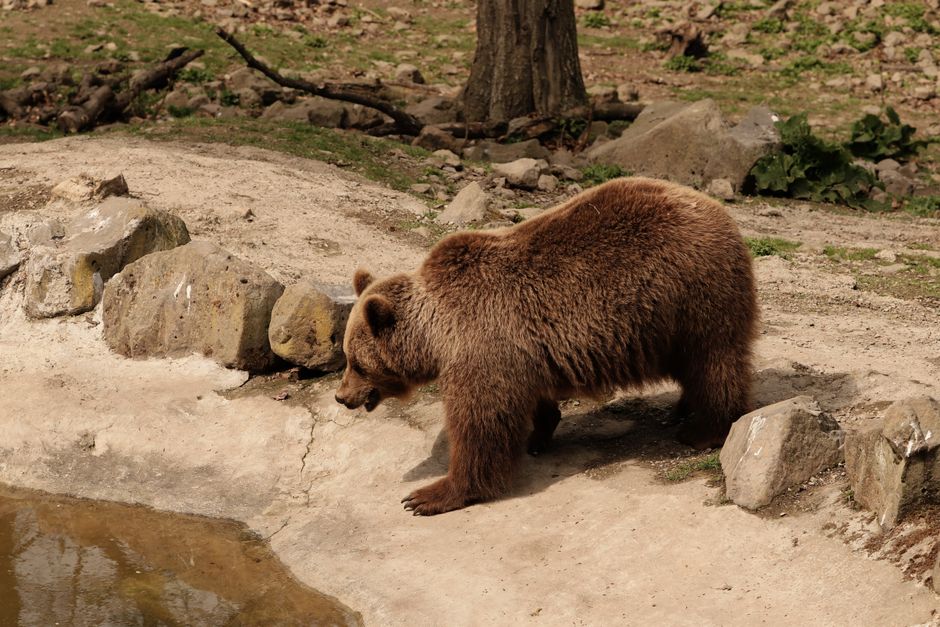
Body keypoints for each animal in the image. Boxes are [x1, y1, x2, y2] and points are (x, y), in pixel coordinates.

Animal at [334, 177, 758, 516]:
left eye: (357, 363)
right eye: (347, 358)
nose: (342, 397)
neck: (437, 334)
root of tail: (720, 212)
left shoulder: (481, 344)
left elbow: (480, 423)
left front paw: (429, 495)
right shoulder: (519, 352)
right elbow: (528, 400)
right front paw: (538, 435)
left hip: (690, 293)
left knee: (713, 362)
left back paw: (703, 429)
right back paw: (682, 410)